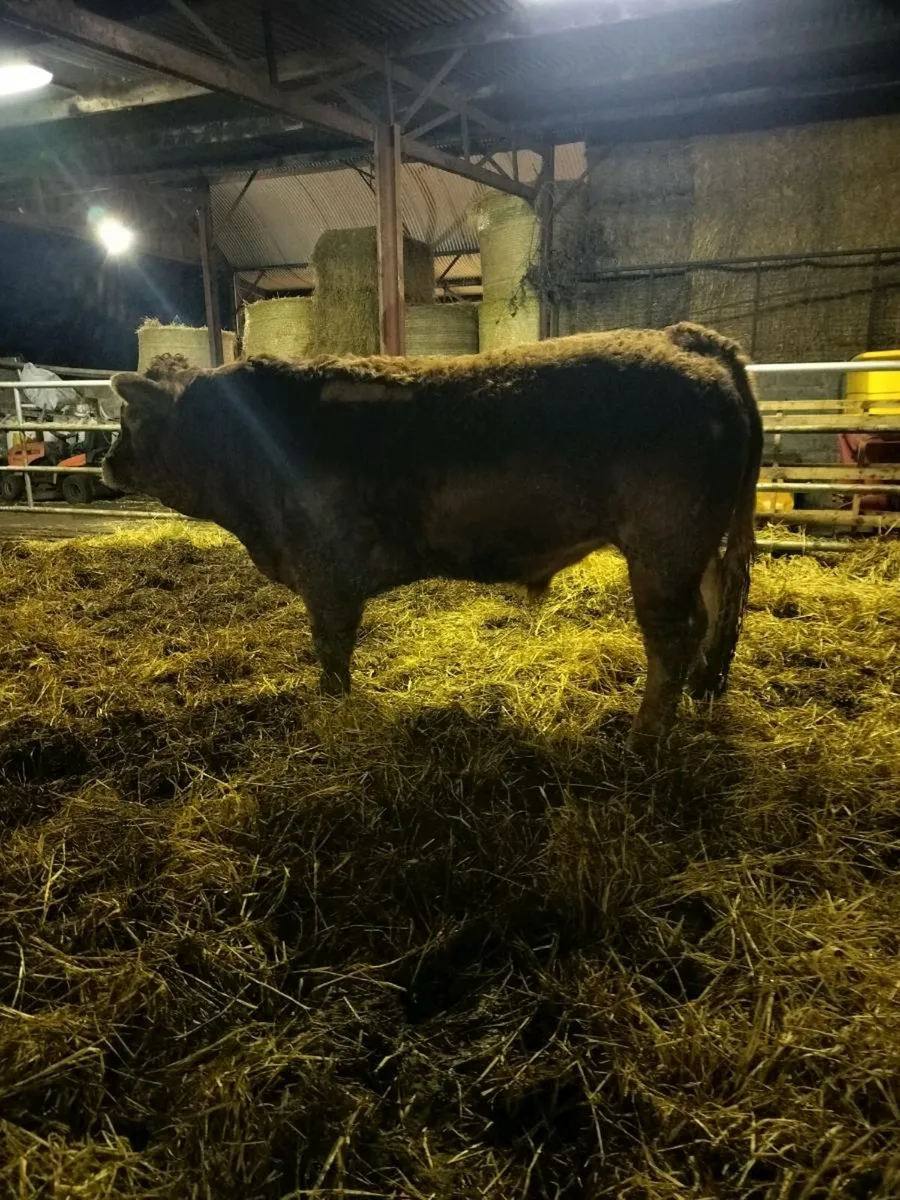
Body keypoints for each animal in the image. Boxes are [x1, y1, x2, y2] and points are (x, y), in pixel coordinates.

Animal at [102, 323, 762, 750]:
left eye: (128, 419)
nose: (108, 464)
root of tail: (689, 339)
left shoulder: (326, 576)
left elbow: (331, 654)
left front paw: (332, 713)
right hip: (699, 543)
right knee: (714, 608)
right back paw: (703, 690)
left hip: (663, 545)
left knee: (673, 636)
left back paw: (644, 738)